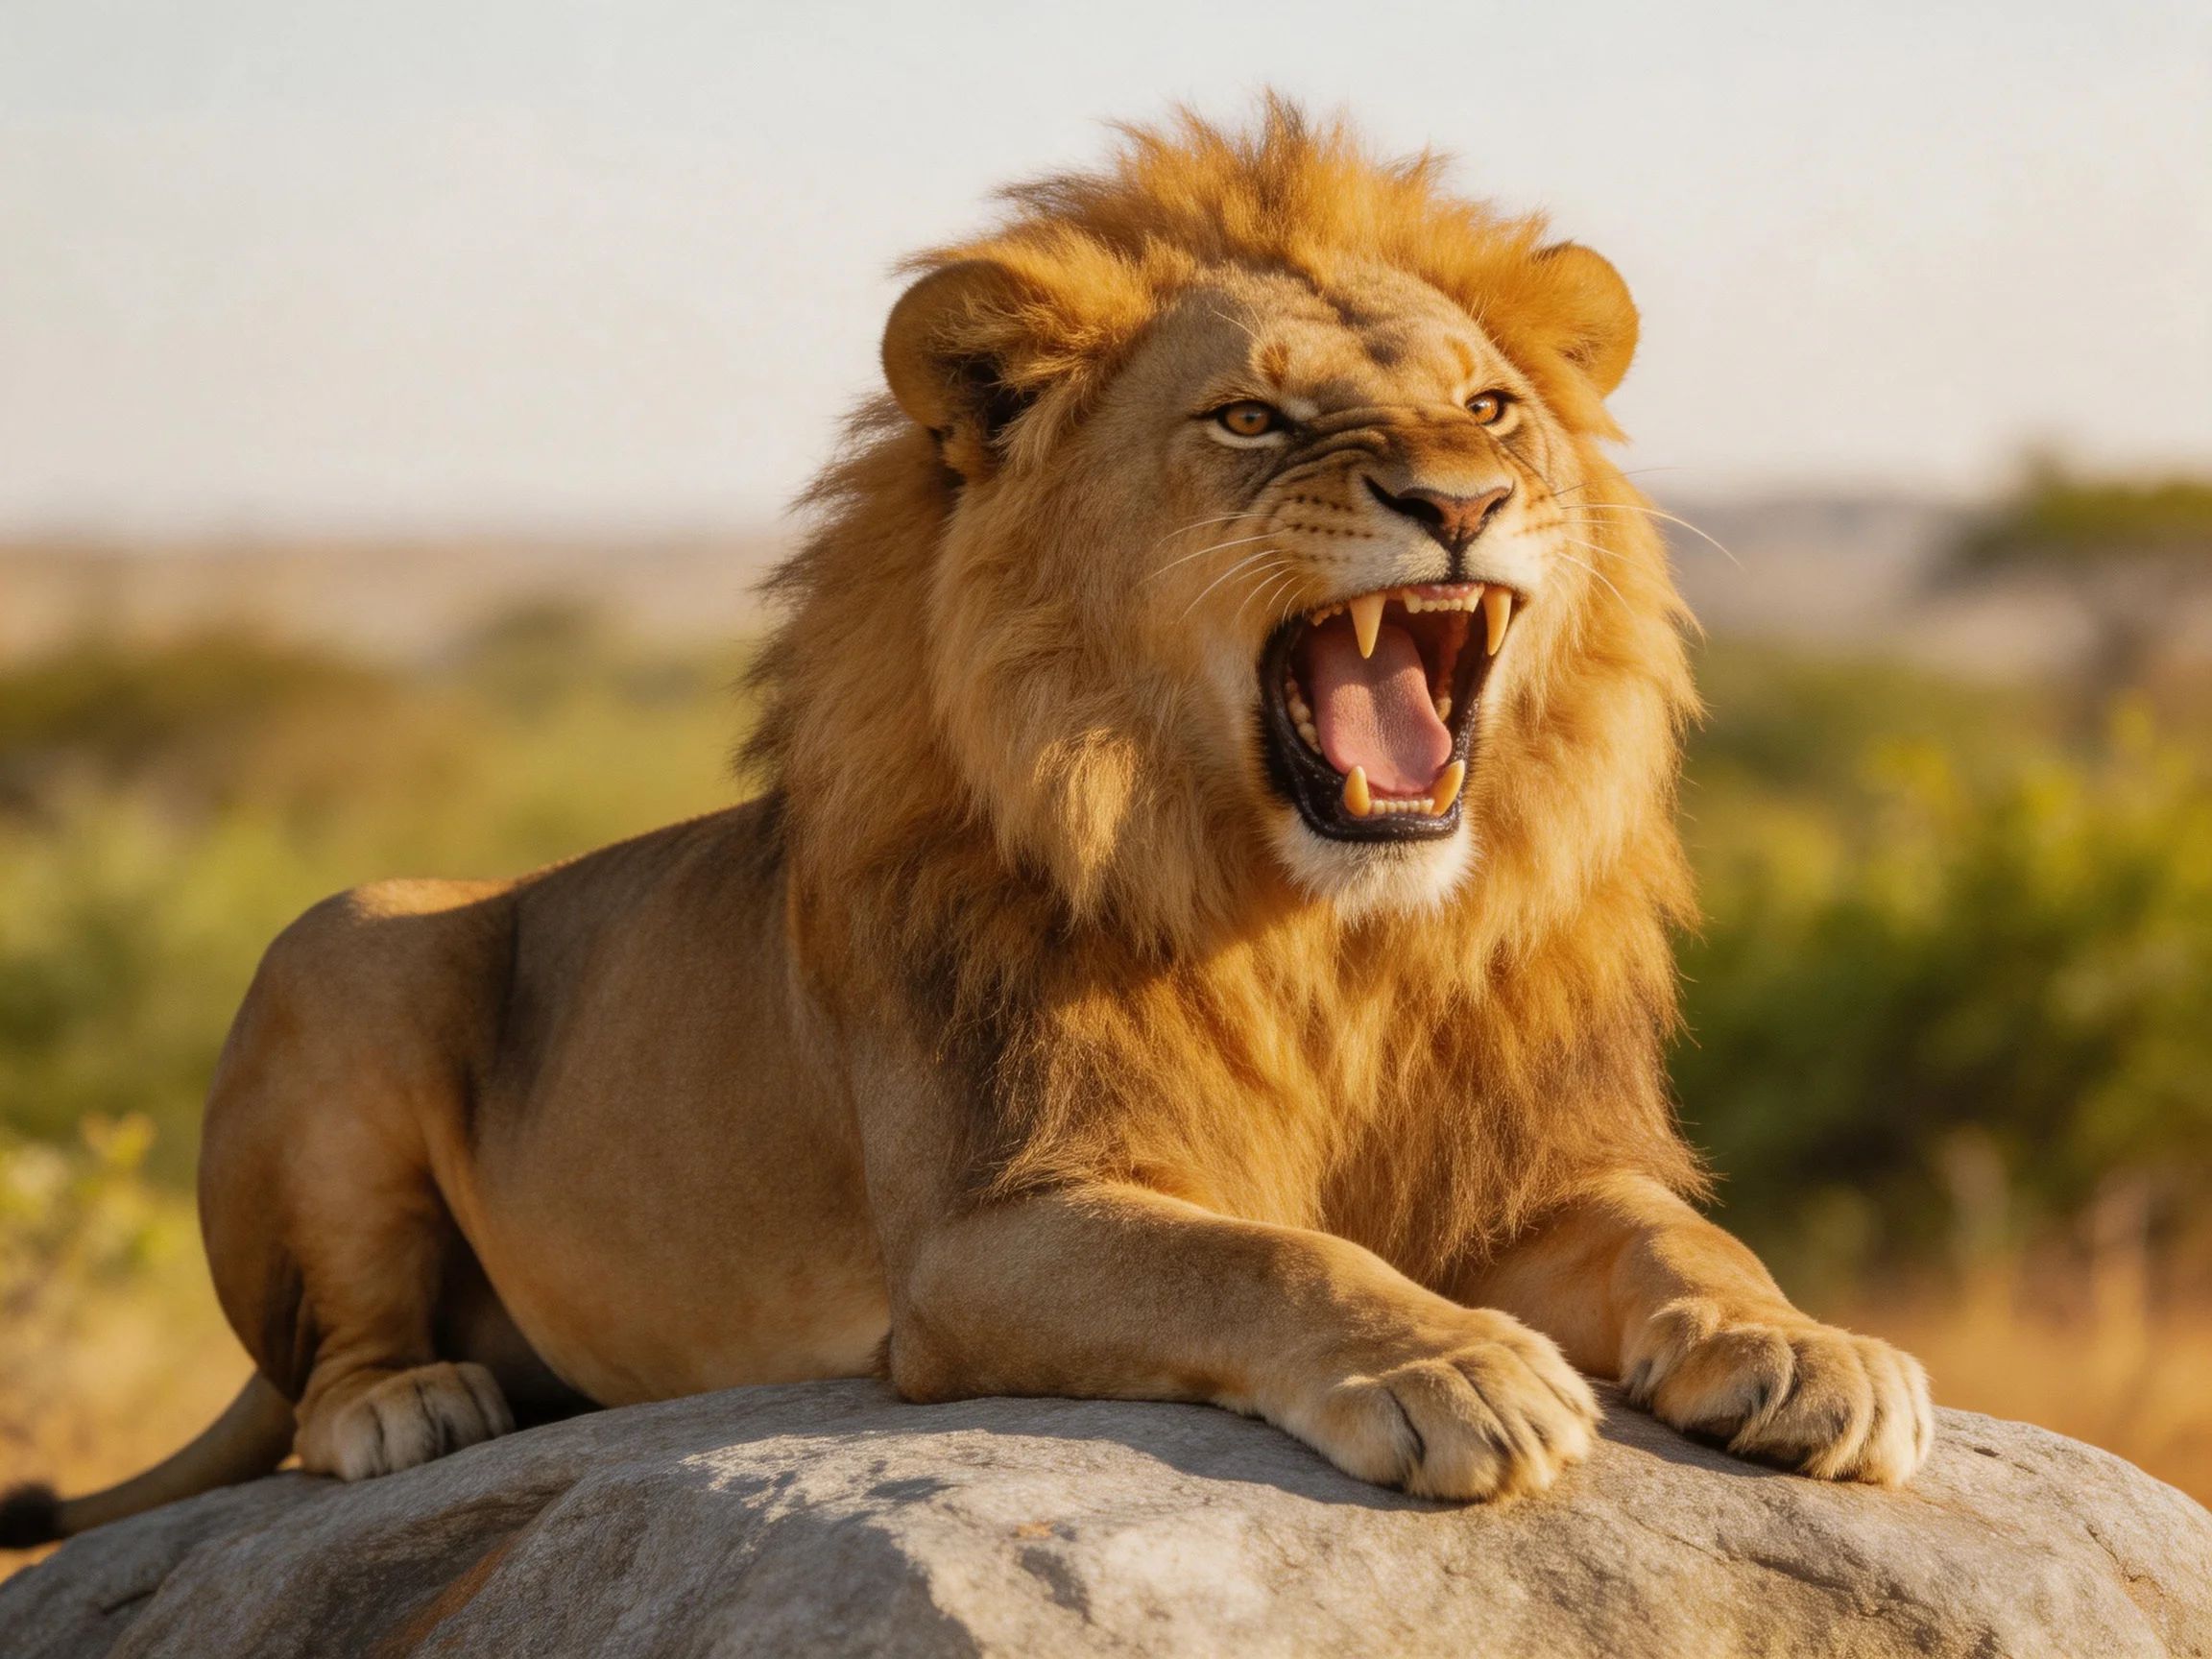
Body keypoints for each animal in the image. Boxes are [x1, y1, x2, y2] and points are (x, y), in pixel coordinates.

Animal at [2, 103, 1929, 1549]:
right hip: (347, 939)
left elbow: (1682, 1236)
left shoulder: (1526, 1169)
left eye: (1489, 405)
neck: (1322, 939)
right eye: (1252, 416)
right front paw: (1449, 1367)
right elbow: (1257, 1255)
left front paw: (1805, 1346)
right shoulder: (985, 1235)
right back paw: (408, 1404)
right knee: (321, 1366)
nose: (1457, 499)